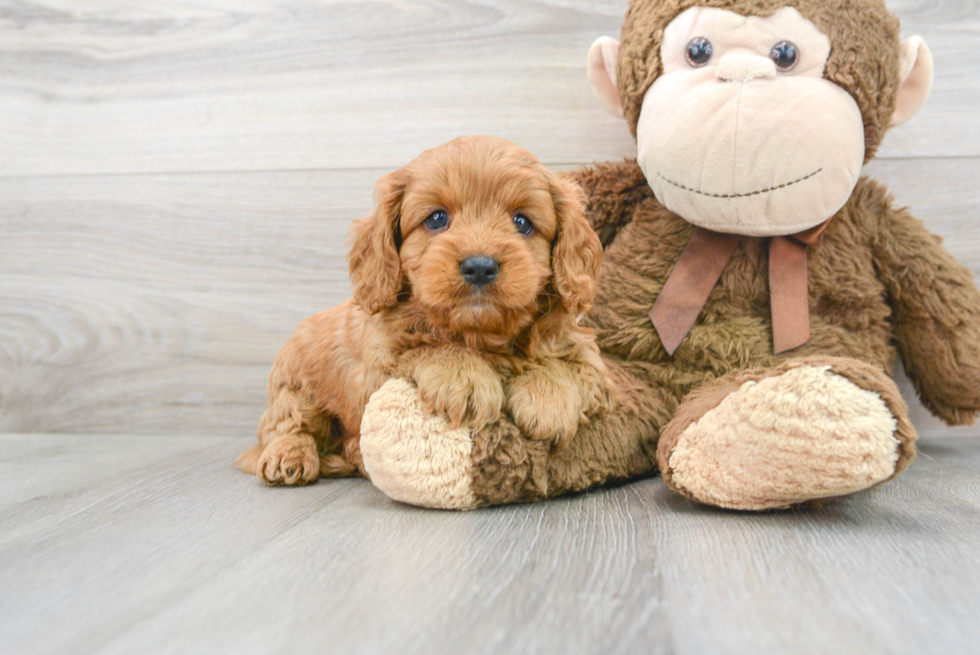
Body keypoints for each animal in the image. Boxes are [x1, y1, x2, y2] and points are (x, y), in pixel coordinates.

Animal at [234, 136, 612, 484]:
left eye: (522, 222)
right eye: (437, 219)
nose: (479, 266)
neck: (478, 334)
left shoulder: (589, 358)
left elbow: (570, 363)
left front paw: (549, 398)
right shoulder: (377, 364)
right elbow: (426, 347)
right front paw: (464, 376)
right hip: (294, 389)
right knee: (286, 428)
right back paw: (290, 457)